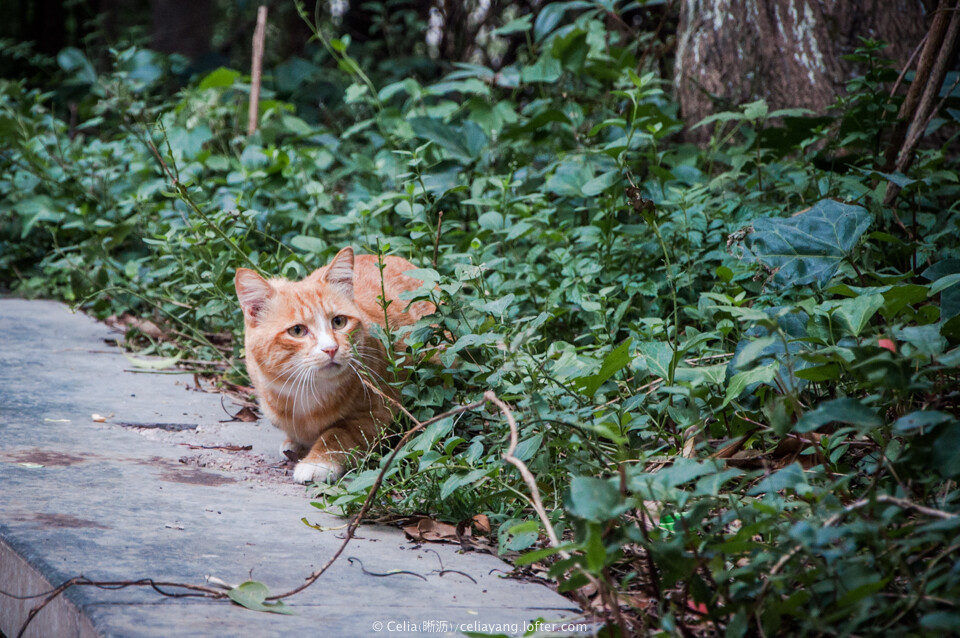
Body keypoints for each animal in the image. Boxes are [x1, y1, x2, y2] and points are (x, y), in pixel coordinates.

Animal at [236, 248, 436, 482]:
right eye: (297, 331)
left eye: (339, 322)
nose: (331, 348)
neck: (307, 394)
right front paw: (295, 443)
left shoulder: (376, 413)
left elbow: (338, 434)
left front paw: (317, 461)